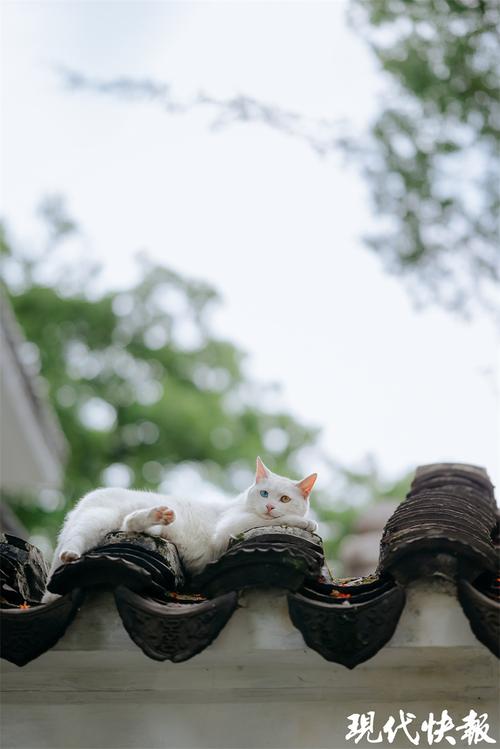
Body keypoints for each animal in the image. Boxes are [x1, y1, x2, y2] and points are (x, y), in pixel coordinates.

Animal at [44, 452, 316, 600]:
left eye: (284, 499)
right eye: (264, 493)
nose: (269, 506)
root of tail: (85, 499)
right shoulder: (230, 527)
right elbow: (274, 520)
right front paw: (306, 521)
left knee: (130, 521)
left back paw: (158, 515)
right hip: (95, 520)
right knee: (77, 538)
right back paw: (70, 553)